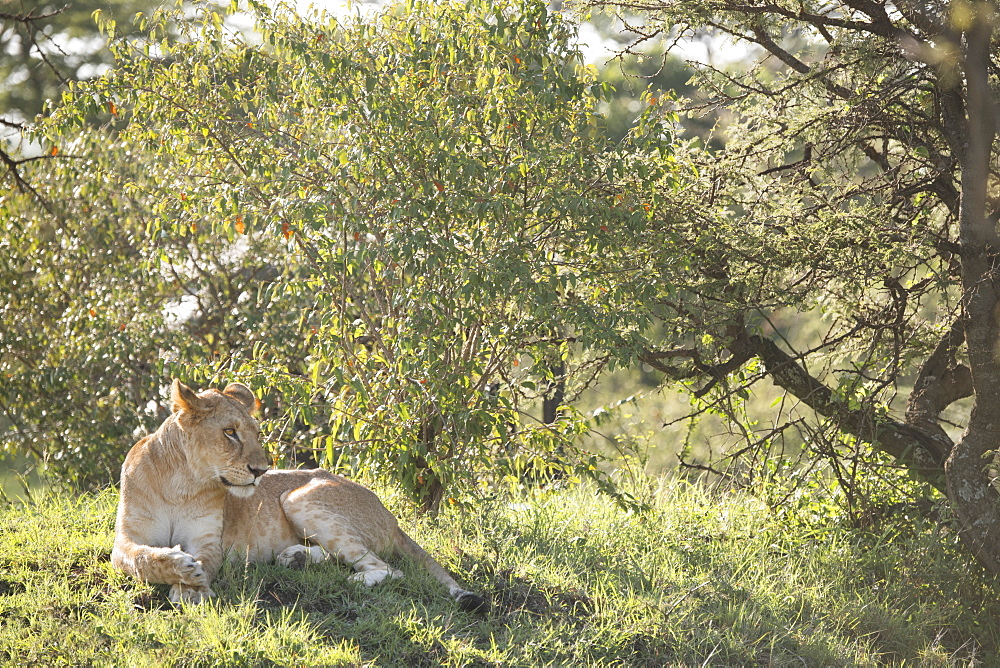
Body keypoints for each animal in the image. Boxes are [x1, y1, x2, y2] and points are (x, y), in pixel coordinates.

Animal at [111, 378, 486, 608]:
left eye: (256, 433)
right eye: (230, 432)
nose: (261, 471)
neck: (182, 482)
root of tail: (392, 519)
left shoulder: (207, 539)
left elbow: (204, 561)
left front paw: (192, 586)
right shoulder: (127, 538)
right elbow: (141, 559)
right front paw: (181, 570)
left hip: (297, 497)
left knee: (388, 569)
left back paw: (347, 579)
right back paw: (295, 558)